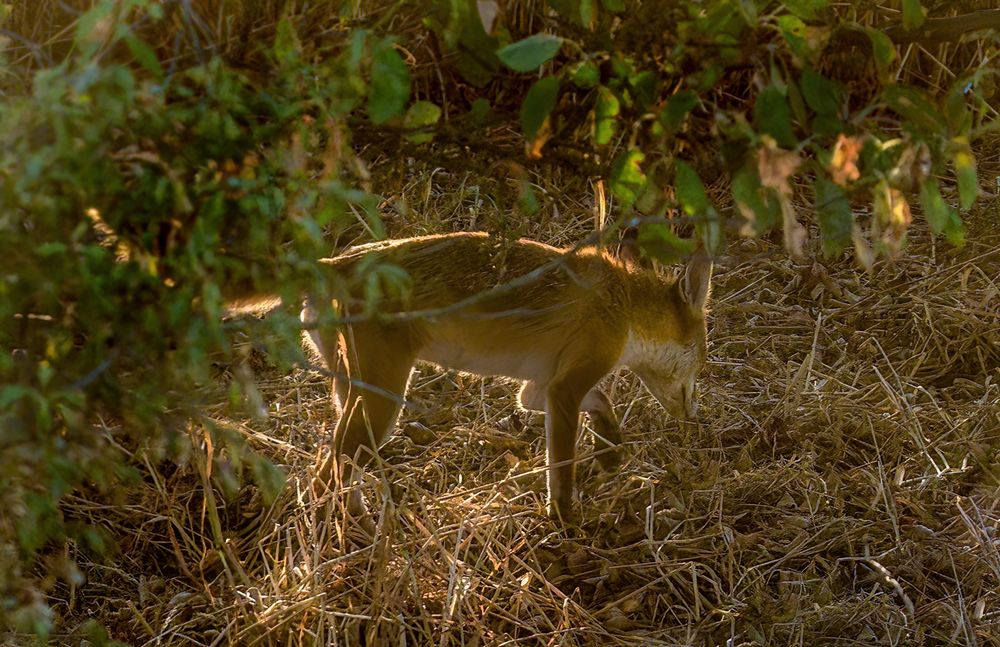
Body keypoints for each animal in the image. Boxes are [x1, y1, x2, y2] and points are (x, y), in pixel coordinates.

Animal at [242, 233, 712, 528]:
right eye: (705, 360)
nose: (695, 417)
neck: (623, 306)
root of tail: (335, 261)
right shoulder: (564, 389)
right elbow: (561, 470)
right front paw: (565, 521)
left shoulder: (539, 389)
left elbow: (599, 401)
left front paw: (611, 448)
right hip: (383, 403)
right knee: (324, 475)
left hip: (353, 397)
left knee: (333, 470)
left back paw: (357, 523)